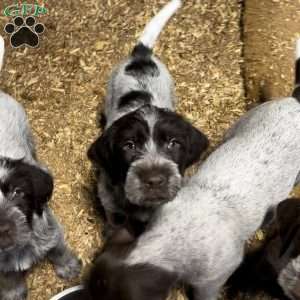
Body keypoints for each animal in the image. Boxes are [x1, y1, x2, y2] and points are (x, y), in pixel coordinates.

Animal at [0, 37, 81, 300]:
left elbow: (59, 250)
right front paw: (14, 292)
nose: (4, 229)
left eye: (18, 192)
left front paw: (69, 267)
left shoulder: (52, 232)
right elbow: (9, 277)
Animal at [88, 0, 207, 238]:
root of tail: (141, 56)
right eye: (129, 145)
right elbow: (116, 219)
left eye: (174, 143)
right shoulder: (110, 201)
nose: (155, 181)